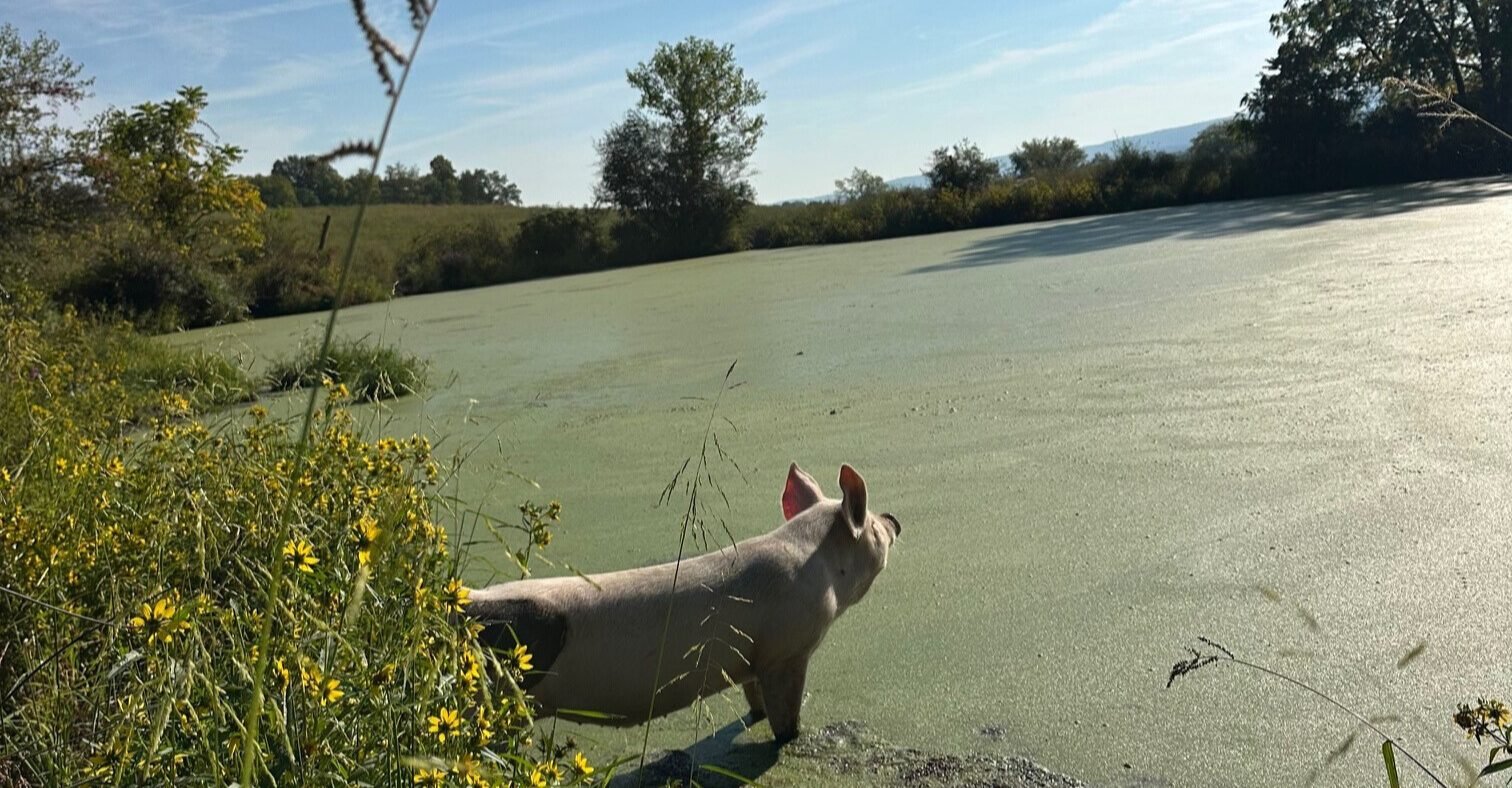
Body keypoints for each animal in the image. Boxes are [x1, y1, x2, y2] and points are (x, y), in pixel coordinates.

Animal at [467, 463, 900, 744]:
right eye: (874, 528)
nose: (894, 519)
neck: (818, 565)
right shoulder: (785, 651)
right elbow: (784, 714)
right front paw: (791, 738)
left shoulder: (750, 656)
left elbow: (754, 698)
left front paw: (755, 716)